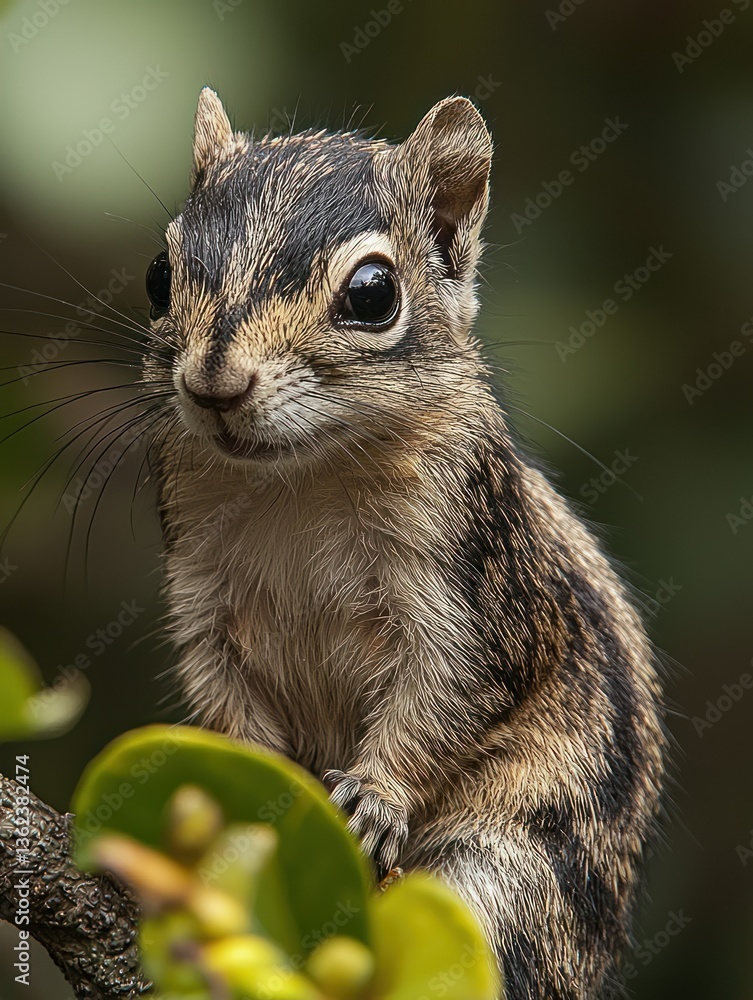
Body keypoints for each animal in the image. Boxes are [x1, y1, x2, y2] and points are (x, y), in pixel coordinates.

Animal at [144, 88, 666, 999]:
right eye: (157, 276)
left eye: (372, 295)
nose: (215, 385)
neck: (300, 479)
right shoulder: (202, 596)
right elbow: (223, 699)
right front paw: (250, 789)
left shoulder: (470, 591)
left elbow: (445, 696)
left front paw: (378, 796)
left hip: (509, 876)